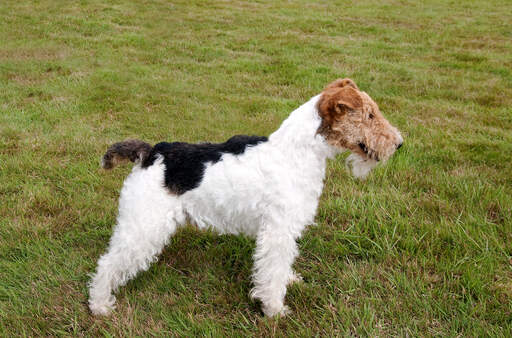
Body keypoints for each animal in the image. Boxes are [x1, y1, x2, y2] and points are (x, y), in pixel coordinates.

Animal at [88, 78, 402, 316]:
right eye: (369, 115)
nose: (399, 144)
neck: (296, 152)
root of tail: (151, 153)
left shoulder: (284, 230)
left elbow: (282, 266)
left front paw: (289, 281)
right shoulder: (277, 230)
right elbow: (271, 272)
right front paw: (275, 310)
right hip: (144, 227)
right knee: (107, 265)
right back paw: (100, 306)